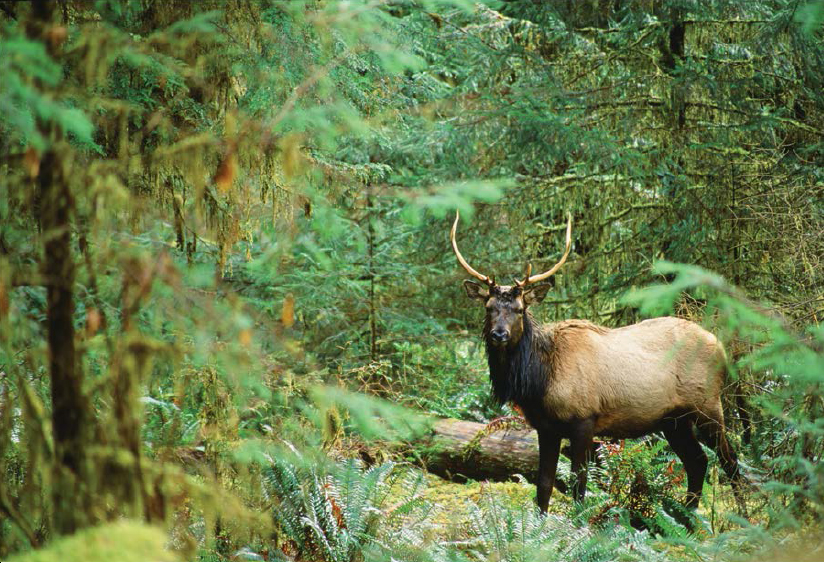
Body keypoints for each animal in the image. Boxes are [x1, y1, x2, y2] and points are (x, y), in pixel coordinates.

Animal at [450, 210, 748, 516]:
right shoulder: (546, 427)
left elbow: (578, 484)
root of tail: (721, 348)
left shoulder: (584, 419)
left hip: (708, 405)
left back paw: (740, 516)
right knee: (698, 461)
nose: (499, 334)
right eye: (489, 308)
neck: (540, 380)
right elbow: (544, 485)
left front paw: (578, 521)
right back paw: (687, 515)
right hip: (673, 420)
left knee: (730, 461)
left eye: (520, 310)